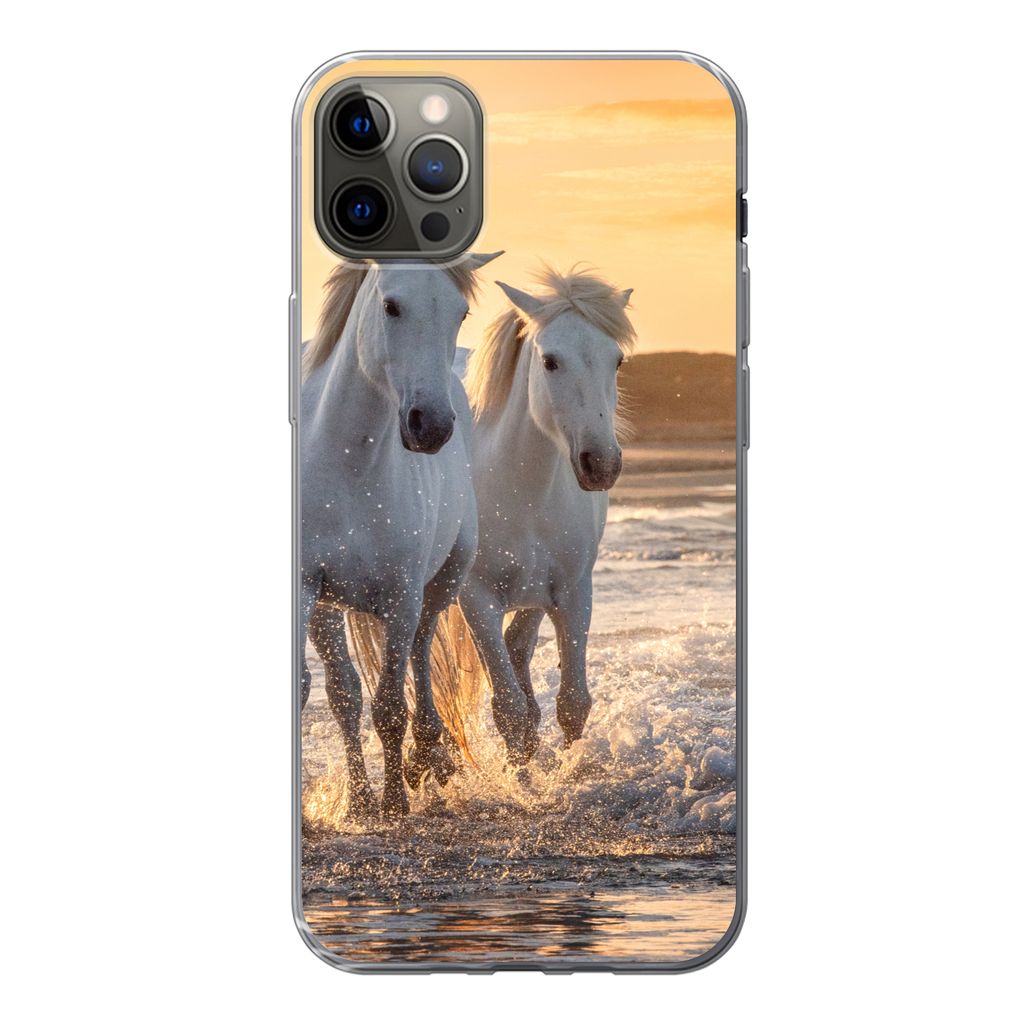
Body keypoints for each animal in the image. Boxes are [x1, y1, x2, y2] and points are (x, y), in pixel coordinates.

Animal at [299, 252, 502, 818]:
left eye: (460, 312)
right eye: (391, 306)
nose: (430, 425)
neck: (348, 465)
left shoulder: (400, 595)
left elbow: (391, 702)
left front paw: (394, 802)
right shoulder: (305, 589)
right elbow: (323, 692)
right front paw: (364, 803)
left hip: (440, 585)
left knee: (419, 655)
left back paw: (428, 757)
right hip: (329, 607)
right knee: (344, 691)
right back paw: (361, 797)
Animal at [458, 266, 636, 764]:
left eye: (617, 361)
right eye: (550, 361)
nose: (602, 464)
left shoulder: (573, 592)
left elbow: (573, 703)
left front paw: (566, 772)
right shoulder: (477, 600)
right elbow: (510, 714)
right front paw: (524, 780)